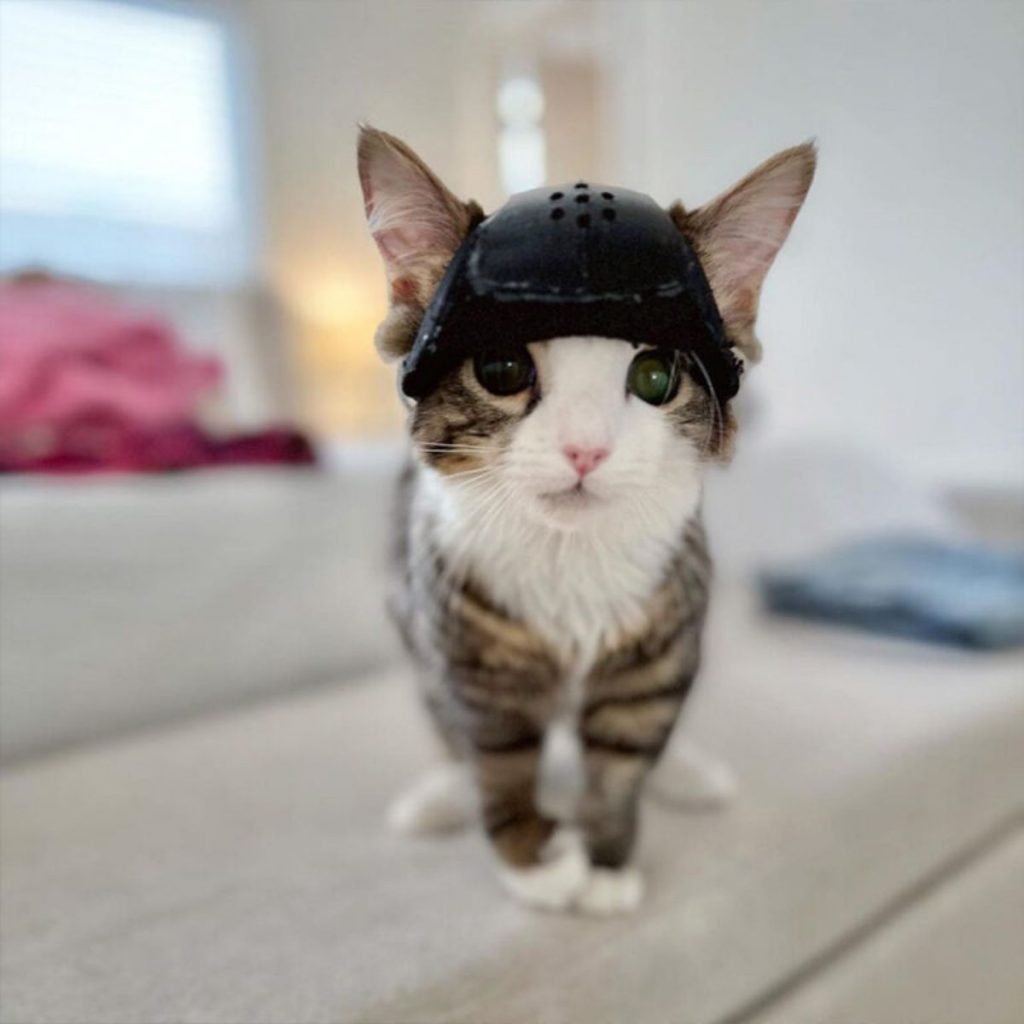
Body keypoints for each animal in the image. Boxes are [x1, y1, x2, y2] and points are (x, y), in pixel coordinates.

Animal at [356, 123, 811, 917]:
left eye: (655, 377)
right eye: (502, 369)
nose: (586, 448)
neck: (570, 562)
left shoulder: (661, 644)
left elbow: (624, 759)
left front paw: (603, 857)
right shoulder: (465, 649)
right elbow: (498, 757)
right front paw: (535, 859)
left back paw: (685, 772)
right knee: (446, 728)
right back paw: (443, 793)